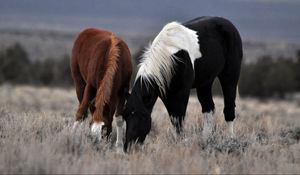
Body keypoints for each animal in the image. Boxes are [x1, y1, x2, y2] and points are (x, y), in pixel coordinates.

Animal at [123, 16, 243, 150]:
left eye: (143, 116)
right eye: (125, 116)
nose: (129, 146)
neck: (171, 57)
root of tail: (228, 24)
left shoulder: (181, 93)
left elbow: (178, 120)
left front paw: (182, 143)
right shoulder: (167, 95)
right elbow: (174, 120)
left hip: (230, 76)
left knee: (229, 109)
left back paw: (230, 141)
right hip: (205, 83)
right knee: (208, 109)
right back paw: (206, 141)